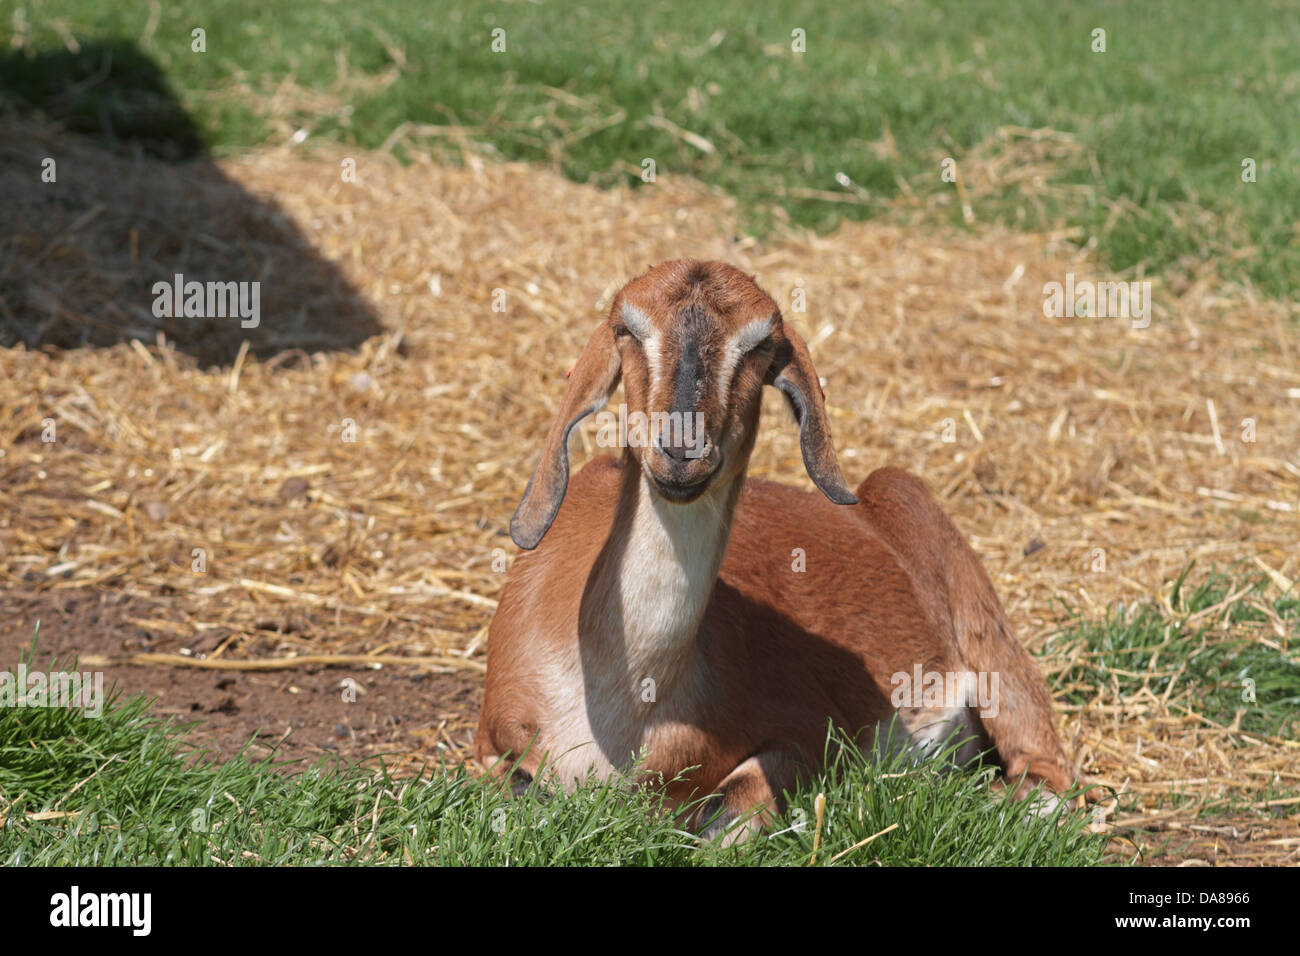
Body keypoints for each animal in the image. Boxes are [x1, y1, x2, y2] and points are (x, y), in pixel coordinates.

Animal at [475, 259, 1083, 841]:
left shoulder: (808, 731)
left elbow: (736, 810)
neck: (621, 707)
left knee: (1046, 779)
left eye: (760, 344)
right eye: (627, 328)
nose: (682, 450)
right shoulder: (491, 743)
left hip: (992, 650)